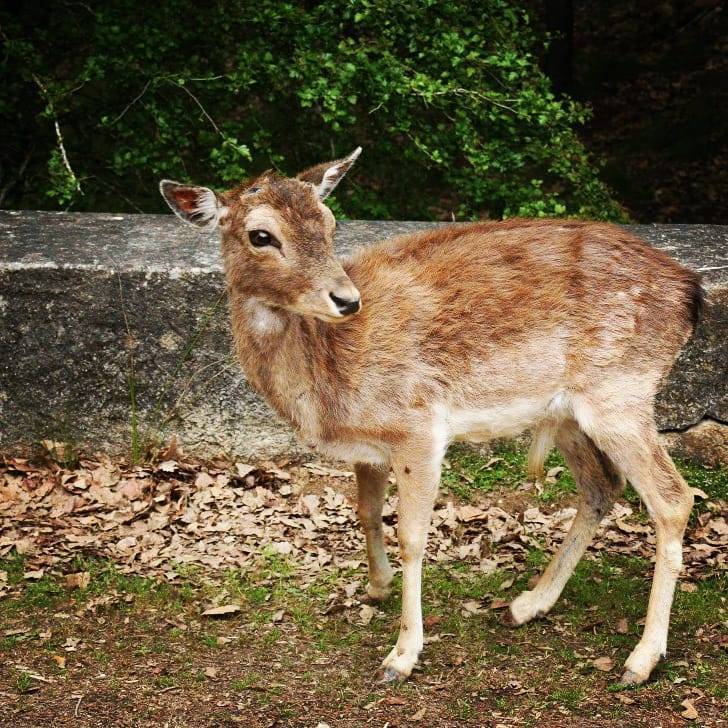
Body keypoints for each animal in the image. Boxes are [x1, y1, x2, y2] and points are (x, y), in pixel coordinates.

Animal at [161, 149, 704, 688]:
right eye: (260, 235)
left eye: (331, 223)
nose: (347, 300)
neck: (327, 385)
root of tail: (691, 294)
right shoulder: (370, 447)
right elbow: (366, 510)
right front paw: (376, 586)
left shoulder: (417, 426)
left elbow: (413, 536)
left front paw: (401, 656)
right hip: (571, 411)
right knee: (602, 485)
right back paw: (528, 604)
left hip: (621, 394)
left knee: (674, 499)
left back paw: (641, 659)